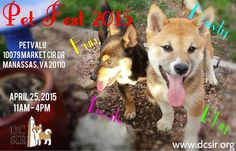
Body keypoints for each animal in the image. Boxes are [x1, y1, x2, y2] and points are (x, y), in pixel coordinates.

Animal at [146, 3, 218, 150]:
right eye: (167, 47)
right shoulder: (159, 94)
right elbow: (167, 110)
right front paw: (166, 123)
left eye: (191, 49)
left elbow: (192, 127)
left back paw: (212, 78)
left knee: (209, 62)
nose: (181, 68)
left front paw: (190, 143)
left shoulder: (196, 103)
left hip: (207, 48)